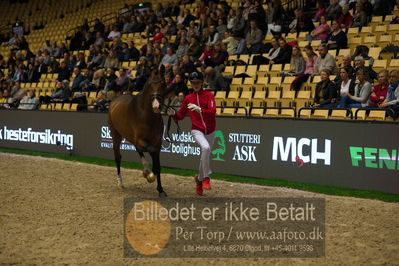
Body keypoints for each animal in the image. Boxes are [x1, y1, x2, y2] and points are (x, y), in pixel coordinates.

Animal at [107, 66, 168, 197]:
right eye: (150, 84)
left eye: (163, 83)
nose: (156, 106)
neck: (147, 116)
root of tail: (115, 100)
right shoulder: (140, 141)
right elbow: (148, 155)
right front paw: (148, 175)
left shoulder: (158, 143)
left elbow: (157, 165)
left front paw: (160, 189)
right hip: (116, 135)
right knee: (118, 157)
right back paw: (120, 183)